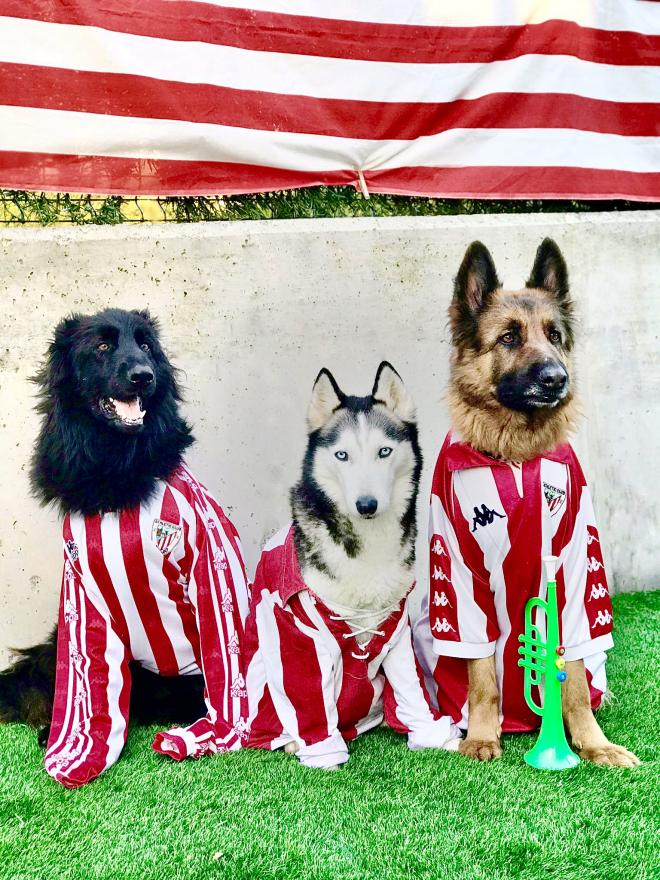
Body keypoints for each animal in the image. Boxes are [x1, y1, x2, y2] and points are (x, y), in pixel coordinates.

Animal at [242, 364, 458, 768]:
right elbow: (306, 697)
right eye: (342, 455)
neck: (365, 546)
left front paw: (436, 736)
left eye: (384, 451)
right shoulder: (297, 633)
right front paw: (324, 756)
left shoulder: (396, 627)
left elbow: (410, 688)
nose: (366, 505)